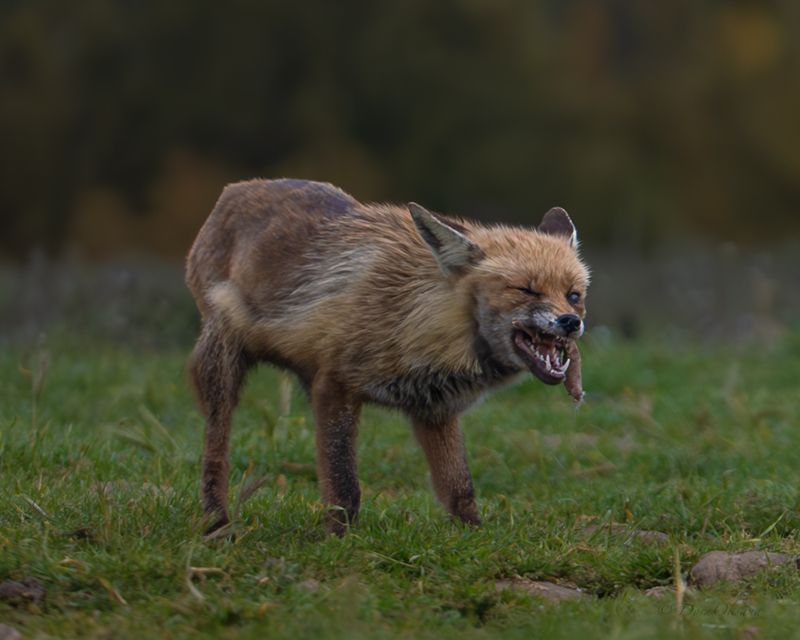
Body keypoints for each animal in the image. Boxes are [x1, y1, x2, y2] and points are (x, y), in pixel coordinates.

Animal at [186, 178, 590, 536]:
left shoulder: (435, 409)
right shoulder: (333, 386)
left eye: (573, 295)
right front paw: (338, 540)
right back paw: (216, 525)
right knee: (214, 454)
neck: (415, 314)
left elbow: (459, 487)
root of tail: (236, 189)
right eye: (526, 290)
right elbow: (344, 484)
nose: (570, 322)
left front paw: (473, 537)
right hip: (222, 368)